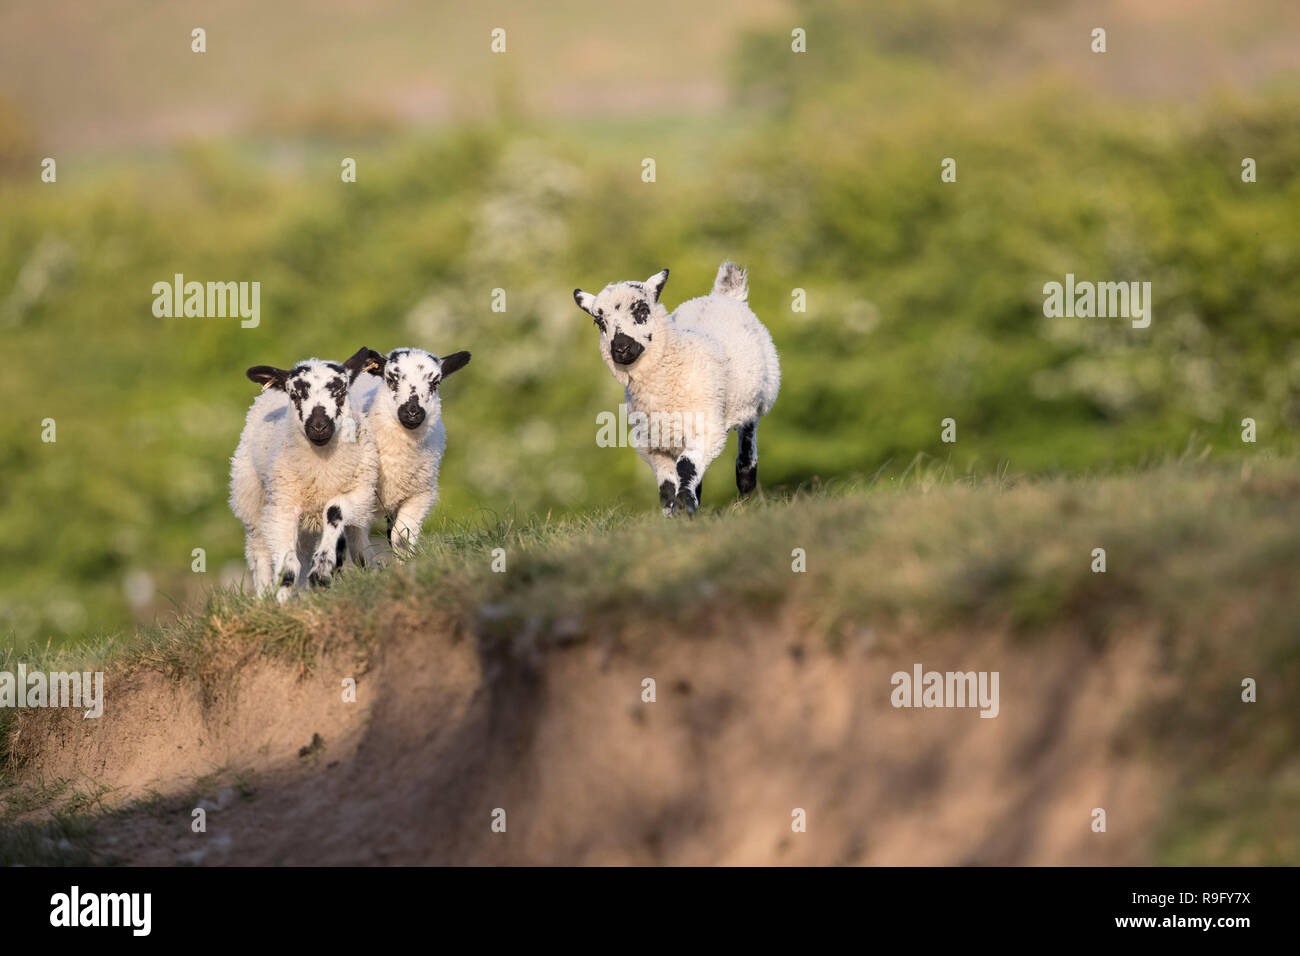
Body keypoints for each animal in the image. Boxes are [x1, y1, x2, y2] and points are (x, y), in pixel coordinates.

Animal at [229, 347, 379, 603]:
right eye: (295, 395)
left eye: (341, 391)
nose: (318, 426)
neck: (322, 468)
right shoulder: (282, 507)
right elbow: (287, 566)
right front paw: (281, 601)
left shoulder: (359, 493)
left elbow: (334, 511)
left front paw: (322, 571)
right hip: (250, 496)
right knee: (259, 551)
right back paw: (265, 597)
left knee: (352, 544)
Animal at [347, 346, 472, 557]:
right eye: (391, 379)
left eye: (435, 383)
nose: (412, 412)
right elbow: (360, 549)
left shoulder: (420, 496)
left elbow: (401, 539)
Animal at [573, 261, 780, 515]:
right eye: (599, 322)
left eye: (642, 310)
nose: (621, 348)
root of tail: (723, 295)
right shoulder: (652, 444)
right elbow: (667, 484)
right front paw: (674, 511)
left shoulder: (707, 430)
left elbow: (686, 466)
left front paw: (683, 506)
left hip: (758, 395)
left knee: (749, 430)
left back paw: (745, 479)